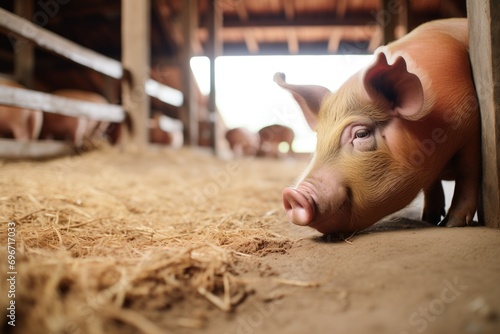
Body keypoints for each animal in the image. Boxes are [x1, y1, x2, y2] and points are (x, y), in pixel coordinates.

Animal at [276, 18, 478, 234]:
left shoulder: (471, 131)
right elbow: (431, 184)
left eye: (361, 134)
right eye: (318, 139)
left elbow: (468, 173)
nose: (292, 195)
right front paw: (429, 219)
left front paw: (452, 223)